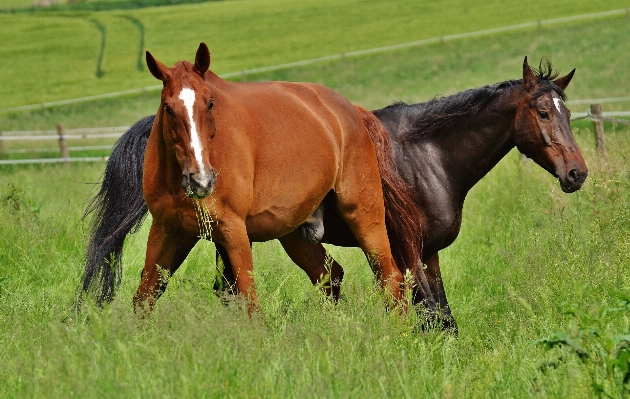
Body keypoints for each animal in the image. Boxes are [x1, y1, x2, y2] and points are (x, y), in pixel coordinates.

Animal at [79, 43, 424, 312]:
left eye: (211, 103)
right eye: (168, 108)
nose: (201, 180)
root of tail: (348, 110)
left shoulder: (233, 231)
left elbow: (249, 303)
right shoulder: (166, 229)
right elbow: (145, 296)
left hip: (364, 214)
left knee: (390, 277)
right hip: (295, 232)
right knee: (330, 276)